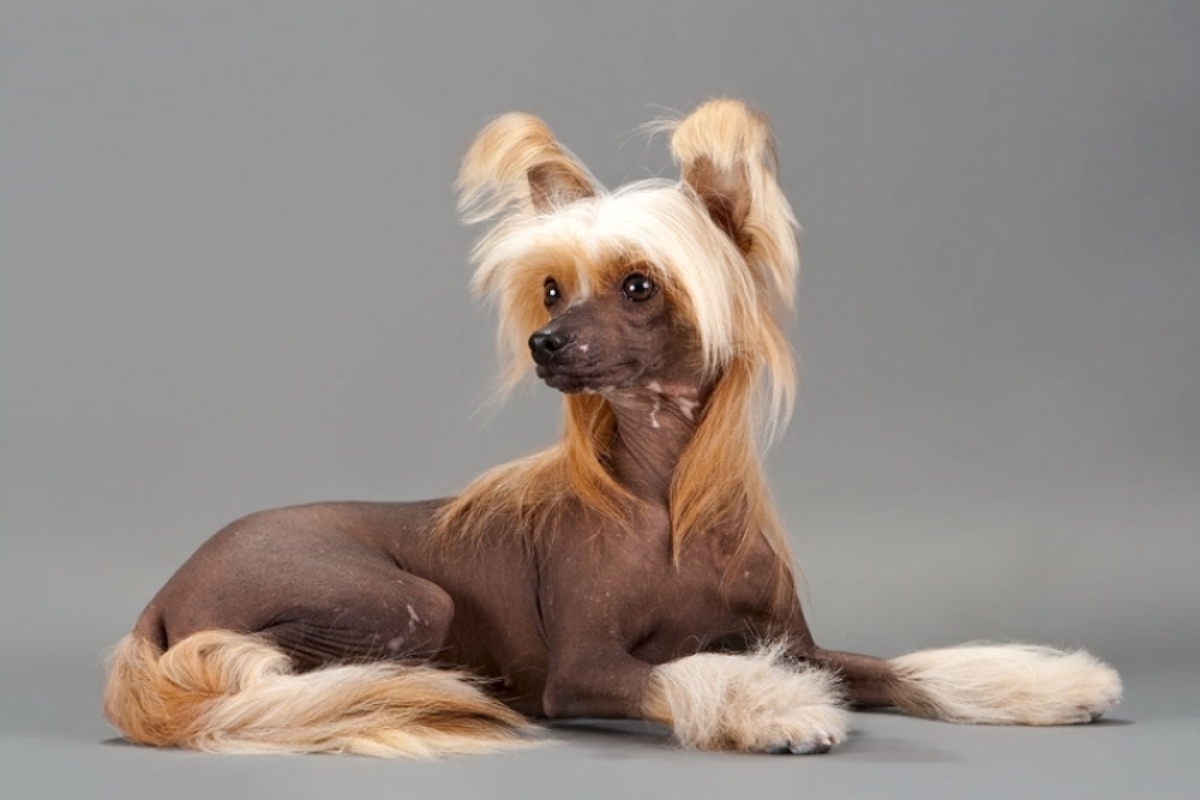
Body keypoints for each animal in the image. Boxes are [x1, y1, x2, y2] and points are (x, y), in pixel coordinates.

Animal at [103, 100, 1123, 758]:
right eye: (553, 288)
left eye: (638, 285)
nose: (545, 343)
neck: (667, 495)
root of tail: (164, 589)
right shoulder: (586, 666)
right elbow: (676, 674)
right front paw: (774, 711)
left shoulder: (802, 642)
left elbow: (902, 667)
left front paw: (1049, 685)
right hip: (402, 602)